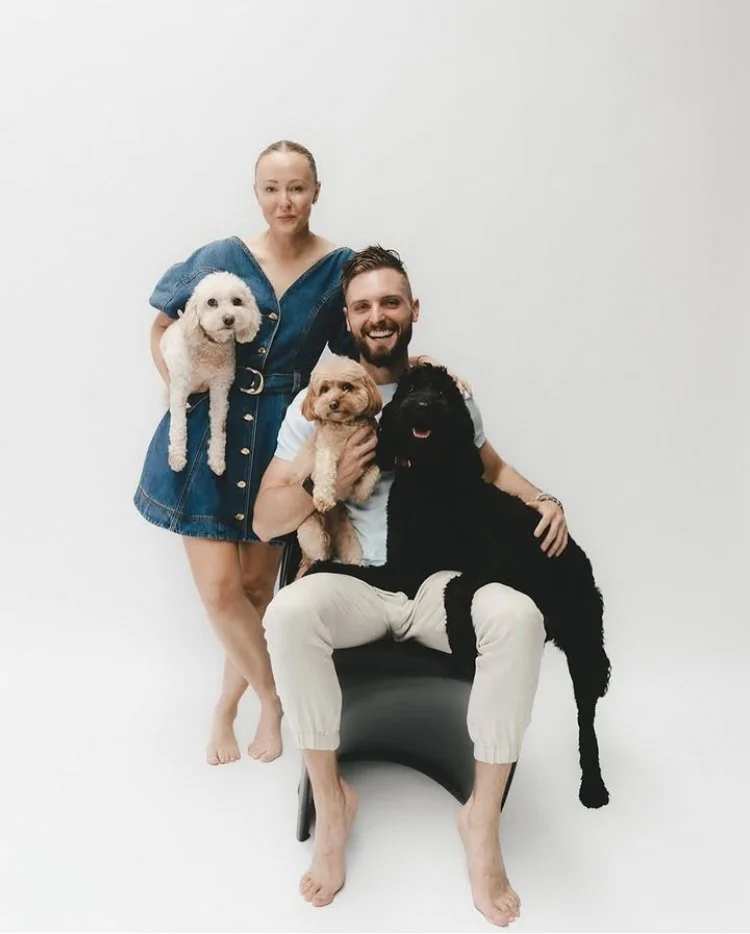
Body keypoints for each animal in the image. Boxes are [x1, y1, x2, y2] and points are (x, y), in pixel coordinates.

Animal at [160, 271, 262, 476]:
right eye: (212, 302)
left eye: (237, 301)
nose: (229, 318)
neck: (211, 347)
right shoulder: (180, 385)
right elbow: (178, 425)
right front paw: (177, 457)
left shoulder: (220, 388)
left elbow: (219, 426)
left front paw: (217, 460)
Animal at [290, 356, 382, 576]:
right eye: (324, 389)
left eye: (347, 386)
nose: (333, 403)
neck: (346, 426)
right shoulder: (324, 452)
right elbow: (325, 473)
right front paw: (323, 498)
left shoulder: (370, 451)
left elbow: (374, 471)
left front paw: (362, 492)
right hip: (311, 530)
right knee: (319, 549)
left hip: (346, 533)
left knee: (350, 550)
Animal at [307, 363, 611, 809]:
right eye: (411, 389)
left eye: (443, 394)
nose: (420, 406)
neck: (432, 481)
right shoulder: (403, 567)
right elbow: (353, 569)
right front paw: (316, 565)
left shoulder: (487, 564)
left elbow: (456, 588)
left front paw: (461, 638)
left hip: (584, 645)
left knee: (586, 720)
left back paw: (593, 785)